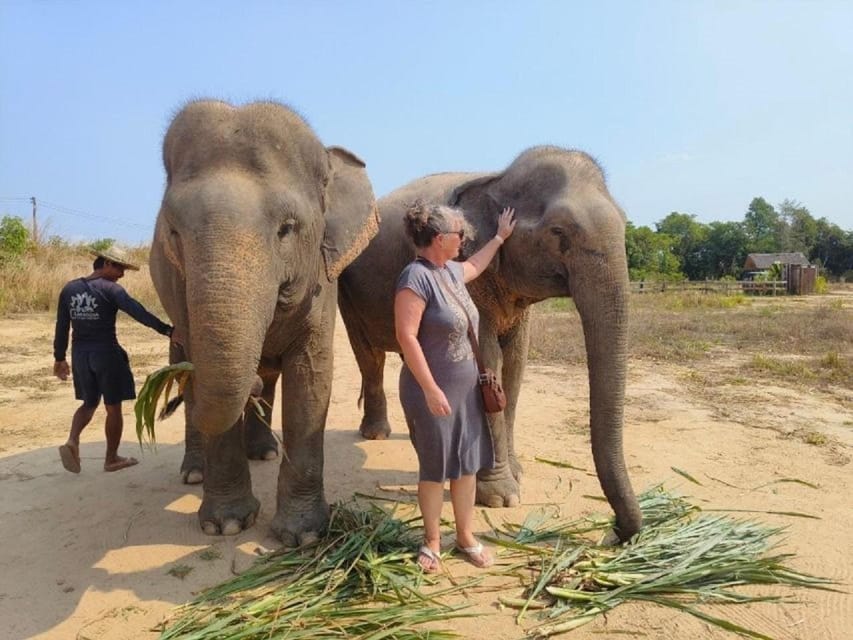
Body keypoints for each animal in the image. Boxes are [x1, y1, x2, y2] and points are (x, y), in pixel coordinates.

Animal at [151, 101, 378, 544]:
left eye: (287, 229)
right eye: (173, 231)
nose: (251, 384)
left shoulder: (323, 282)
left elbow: (310, 378)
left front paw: (304, 536)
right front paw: (226, 525)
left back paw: (264, 450)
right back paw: (195, 472)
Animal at [336, 146, 644, 540]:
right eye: (558, 231)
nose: (617, 531)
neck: (497, 179)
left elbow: (514, 365)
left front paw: (517, 473)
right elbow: (488, 361)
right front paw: (501, 498)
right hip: (346, 289)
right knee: (369, 356)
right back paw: (376, 434)